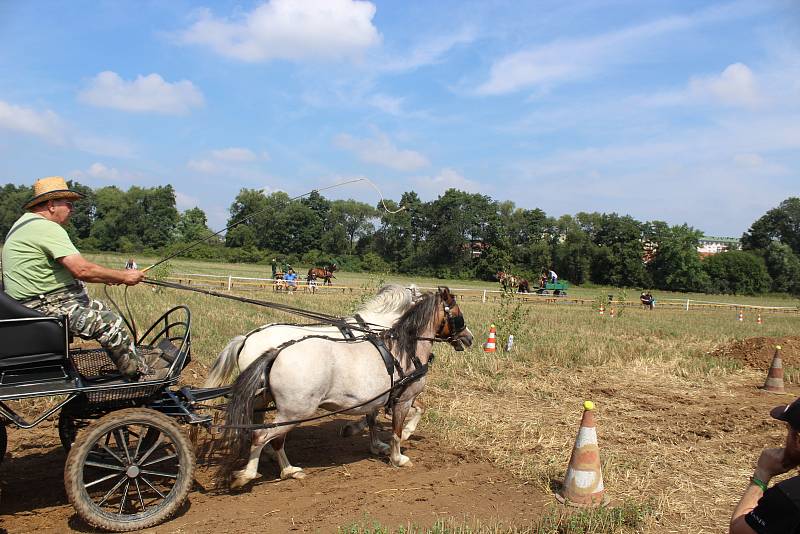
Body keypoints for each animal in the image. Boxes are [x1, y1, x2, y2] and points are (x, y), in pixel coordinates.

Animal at [216, 288, 472, 490]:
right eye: (458, 315)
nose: (469, 338)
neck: (405, 350)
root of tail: (275, 352)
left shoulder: (384, 396)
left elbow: (381, 417)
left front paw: (374, 443)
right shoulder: (403, 398)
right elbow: (398, 430)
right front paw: (397, 455)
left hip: (277, 406)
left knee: (267, 432)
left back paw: (287, 468)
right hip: (295, 411)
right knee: (263, 435)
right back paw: (251, 474)